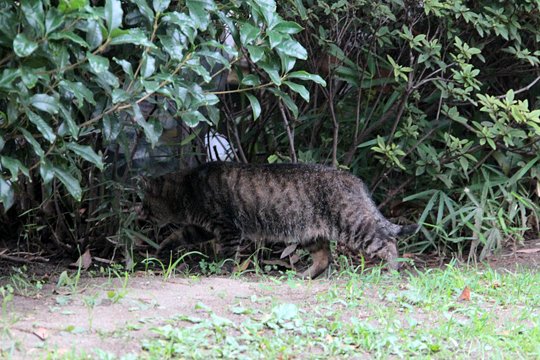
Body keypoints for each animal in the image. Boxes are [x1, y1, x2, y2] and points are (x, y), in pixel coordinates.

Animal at [143, 162, 418, 278]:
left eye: (145, 204)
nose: (140, 214)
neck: (188, 189)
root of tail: (356, 181)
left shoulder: (227, 228)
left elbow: (228, 255)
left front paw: (224, 271)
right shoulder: (205, 228)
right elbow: (178, 235)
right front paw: (162, 248)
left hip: (354, 225)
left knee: (388, 242)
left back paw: (391, 270)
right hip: (311, 234)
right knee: (324, 258)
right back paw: (304, 276)